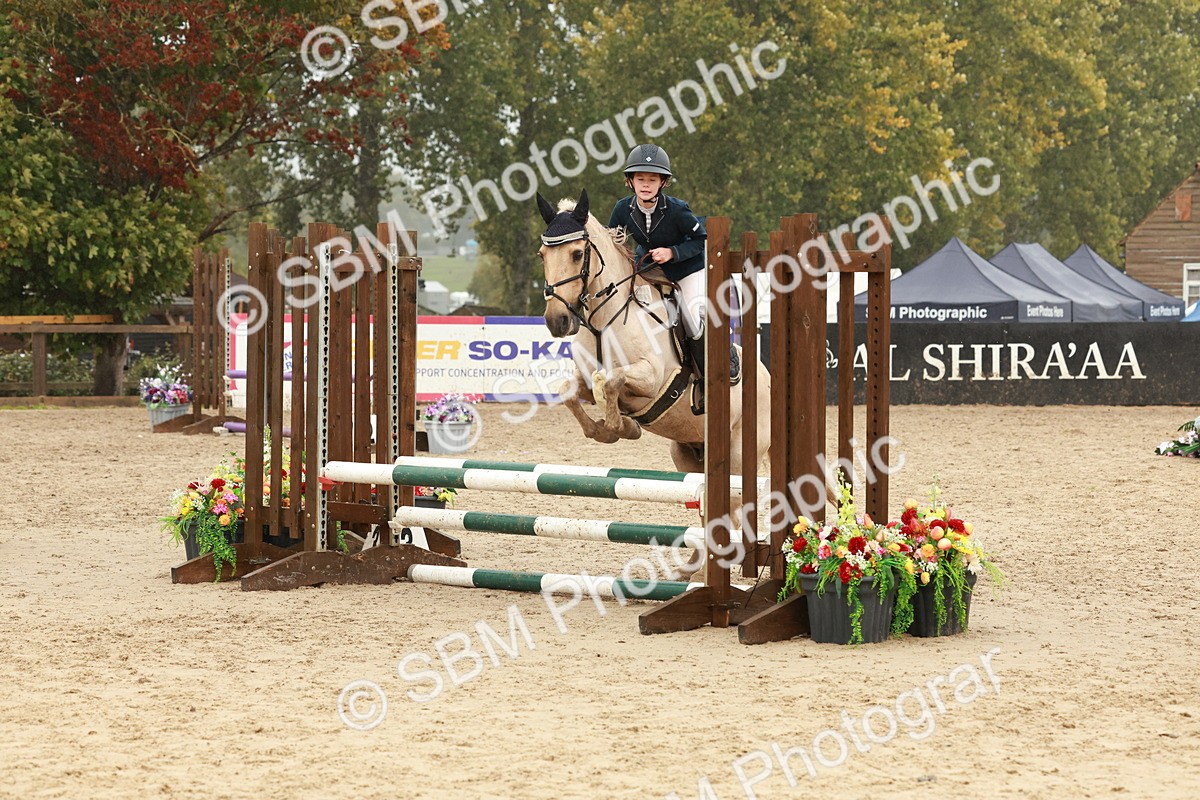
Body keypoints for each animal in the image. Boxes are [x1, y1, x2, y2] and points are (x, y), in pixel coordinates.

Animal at [536, 189, 771, 479]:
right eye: (542, 255)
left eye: (577, 253)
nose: (556, 321)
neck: (604, 322)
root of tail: (765, 374)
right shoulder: (586, 379)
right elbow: (568, 391)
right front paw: (607, 429)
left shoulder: (652, 377)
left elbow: (612, 380)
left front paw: (621, 427)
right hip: (686, 453)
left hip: (739, 454)